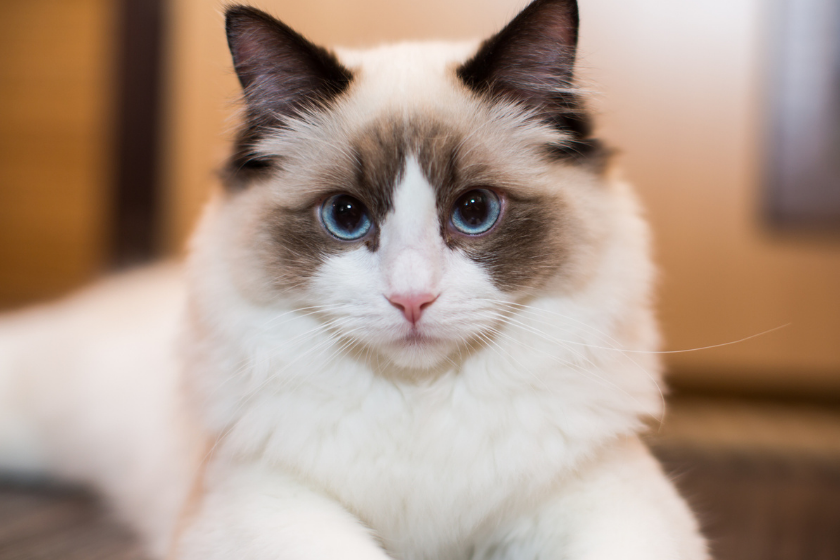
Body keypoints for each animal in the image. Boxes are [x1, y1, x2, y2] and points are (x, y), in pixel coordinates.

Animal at [0, 0, 708, 556]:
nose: (413, 298)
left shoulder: (609, 499)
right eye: (345, 216)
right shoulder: (266, 506)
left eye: (475, 211)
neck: (421, 404)